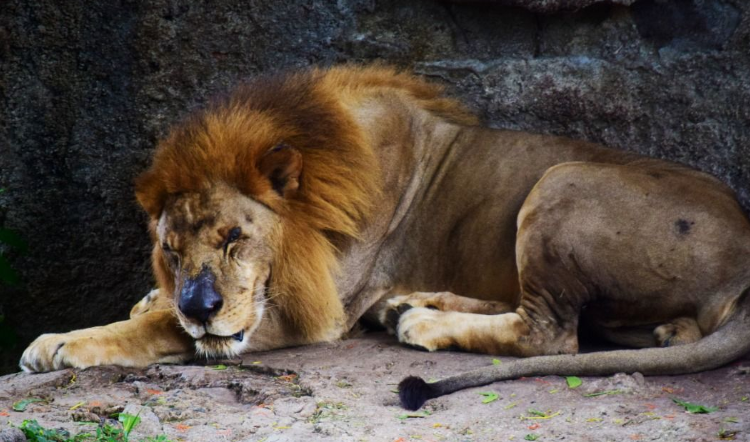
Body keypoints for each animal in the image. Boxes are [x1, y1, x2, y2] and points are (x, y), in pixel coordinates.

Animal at [20, 66, 750, 411]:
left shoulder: (309, 315)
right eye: (171, 250)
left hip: (561, 180)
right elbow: (159, 311)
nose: (202, 306)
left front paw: (61, 343)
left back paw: (418, 321)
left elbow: (161, 332)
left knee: (550, 334)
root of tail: (747, 251)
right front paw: (150, 300)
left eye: (233, 237)